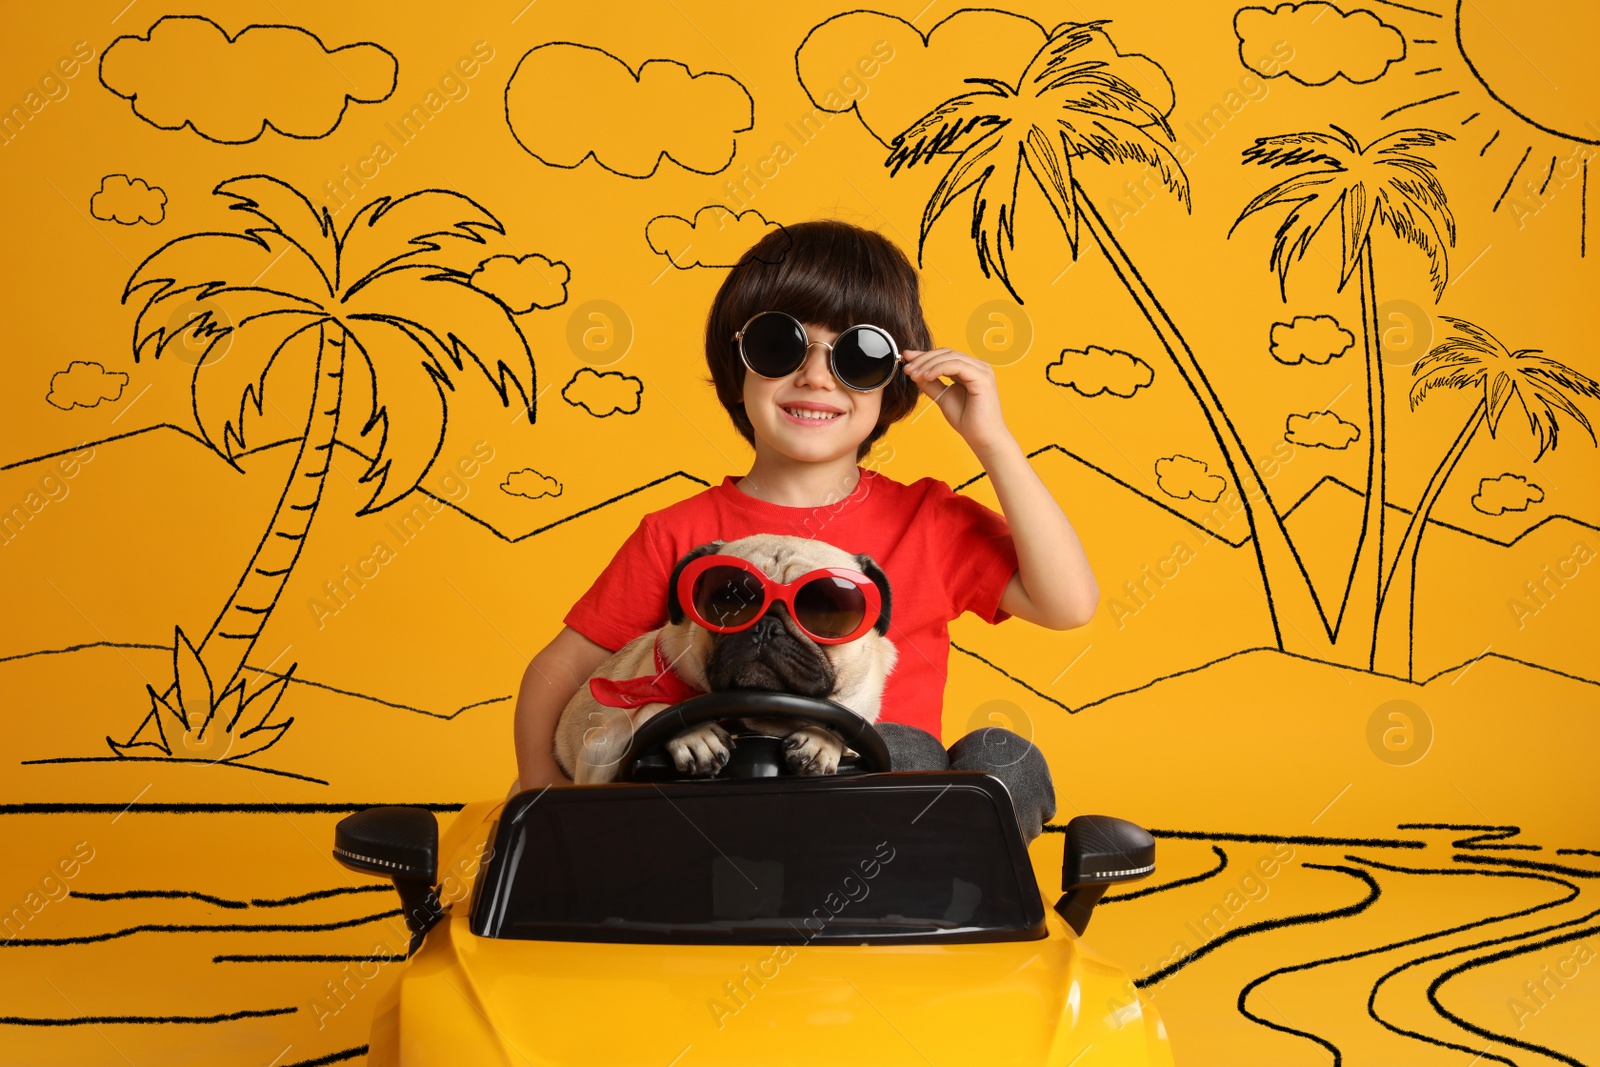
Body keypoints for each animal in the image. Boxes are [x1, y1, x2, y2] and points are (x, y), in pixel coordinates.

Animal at [556, 534, 896, 783]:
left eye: (825, 612)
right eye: (728, 603)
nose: (765, 627)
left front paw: (823, 739)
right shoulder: (598, 754)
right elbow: (658, 705)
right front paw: (692, 732)